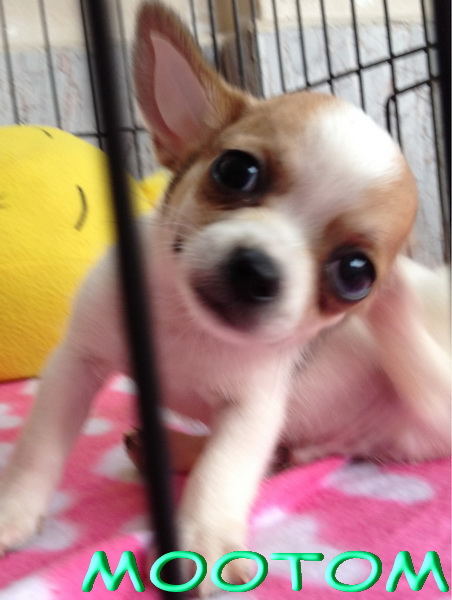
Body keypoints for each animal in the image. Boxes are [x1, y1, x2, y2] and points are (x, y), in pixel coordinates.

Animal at [0, 2, 449, 595]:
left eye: (355, 273)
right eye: (236, 170)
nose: (257, 270)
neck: (187, 325)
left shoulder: (251, 410)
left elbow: (224, 472)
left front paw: (206, 542)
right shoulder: (79, 360)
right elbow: (40, 447)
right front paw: (13, 511)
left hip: (434, 397)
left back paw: (399, 293)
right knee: (283, 454)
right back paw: (169, 449)